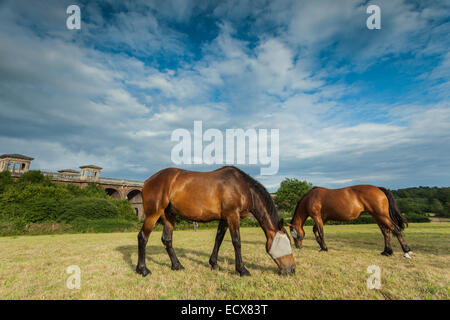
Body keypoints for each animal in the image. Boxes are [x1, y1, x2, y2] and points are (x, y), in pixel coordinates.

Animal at [135, 166, 296, 276]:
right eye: (288, 243)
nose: (292, 269)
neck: (242, 186)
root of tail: (147, 182)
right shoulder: (232, 216)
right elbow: (237, 242)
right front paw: (242, 270)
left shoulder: (225, 219)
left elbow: (218, 239)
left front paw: (214, 264)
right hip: (153, 214)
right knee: (143, 237)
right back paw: (143, 270)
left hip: (169, 216)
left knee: (167, 239)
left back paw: (177, 265)